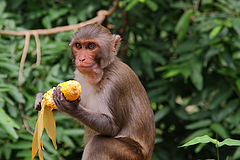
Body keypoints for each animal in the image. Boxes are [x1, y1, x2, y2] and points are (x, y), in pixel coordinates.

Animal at [35, 23, 156, 159]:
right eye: (78, 46)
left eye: (91, 46)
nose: (81, 59)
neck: (102, 72)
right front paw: (41, 98)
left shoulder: (115, 85)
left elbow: (112, 127)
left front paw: (70, 107)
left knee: (98, 143)